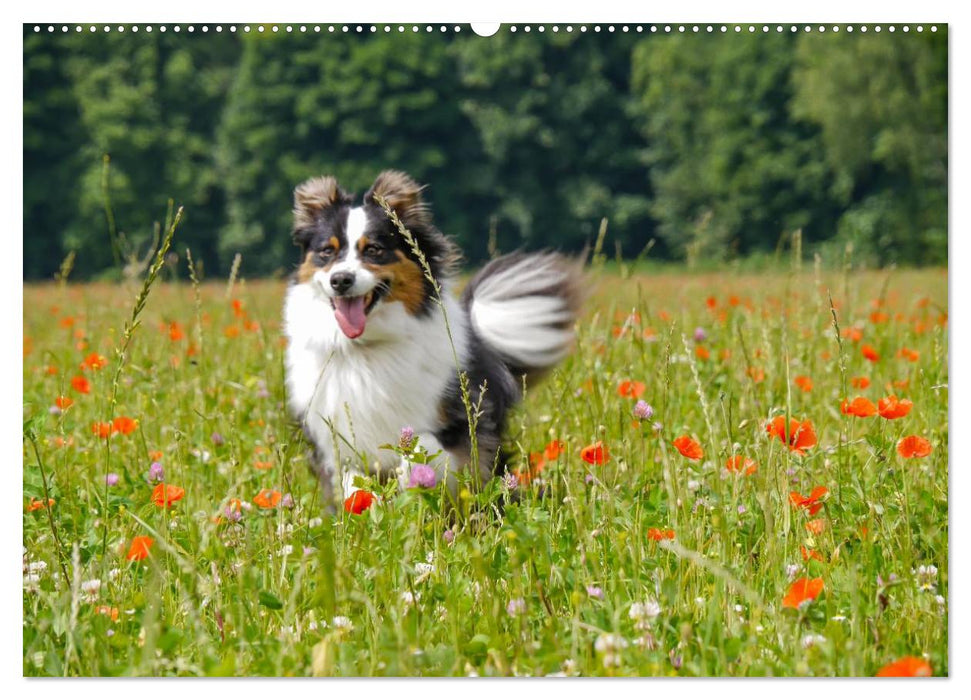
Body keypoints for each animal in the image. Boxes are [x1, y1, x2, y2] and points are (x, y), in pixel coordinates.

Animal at [284, 170, 580, 508]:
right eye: (327, 252)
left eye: (374, 249)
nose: (341, 280)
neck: (367, 347)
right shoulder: (333, 440)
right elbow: (353, 484)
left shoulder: (458, 426)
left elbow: (418, 445)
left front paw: (410, 479)